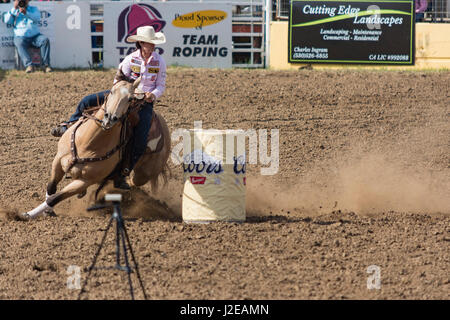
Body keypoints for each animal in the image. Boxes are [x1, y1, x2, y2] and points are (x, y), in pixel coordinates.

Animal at [19, 77, 171, 220]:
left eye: (130, 98)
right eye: (111, 91)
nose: (110, 118)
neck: (88, 143)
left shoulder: (85, 181)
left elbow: (55, 198)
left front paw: (26, 215)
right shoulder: (57, 161)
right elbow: (51, 187)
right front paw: (46, 211)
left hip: (142, 175)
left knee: (132, 182)